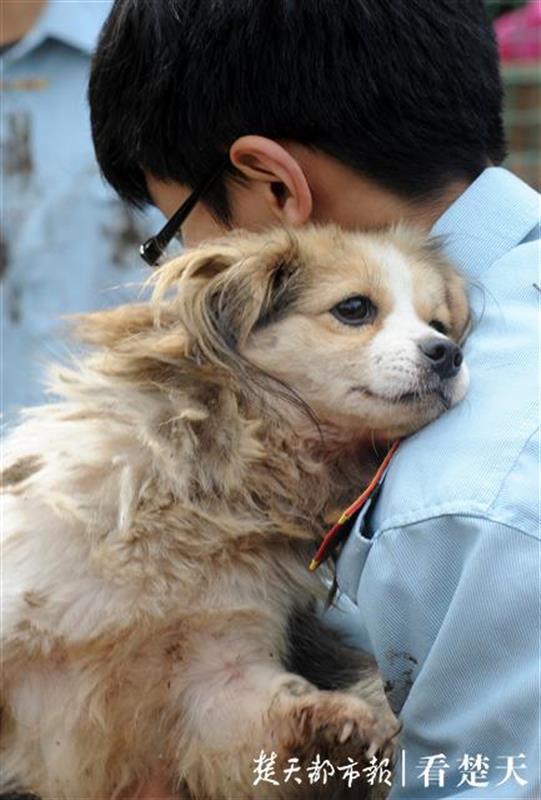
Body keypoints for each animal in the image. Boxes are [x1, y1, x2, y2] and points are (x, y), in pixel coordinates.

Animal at [1, 227, 468, 800]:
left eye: (439, 324)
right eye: (354, 308)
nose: (449, 353)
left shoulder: (217, 672)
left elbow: (258, 719)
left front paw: (340, 724)